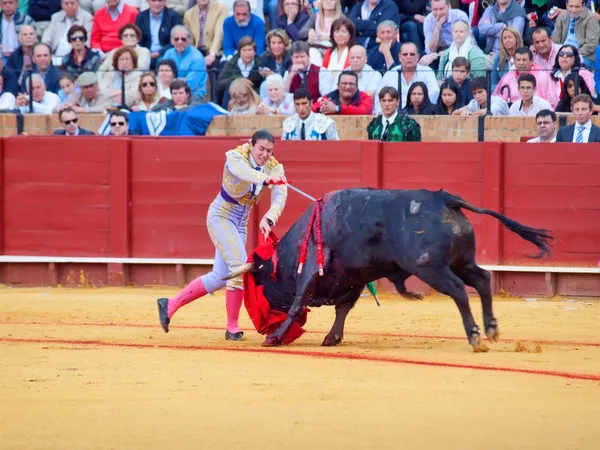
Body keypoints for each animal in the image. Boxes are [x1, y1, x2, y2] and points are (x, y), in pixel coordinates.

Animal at [225, 189, 552, 352]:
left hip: (430, 267)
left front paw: (276, 337)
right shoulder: (353, 278)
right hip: (462, 261)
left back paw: (474, 336)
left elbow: (297, 304)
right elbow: (343, 309)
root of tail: (444, 198)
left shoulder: (313, 271)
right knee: (483, 279)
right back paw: (491, 329)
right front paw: (332, 338)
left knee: (460, 290)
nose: (262, 326)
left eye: (259, 279)